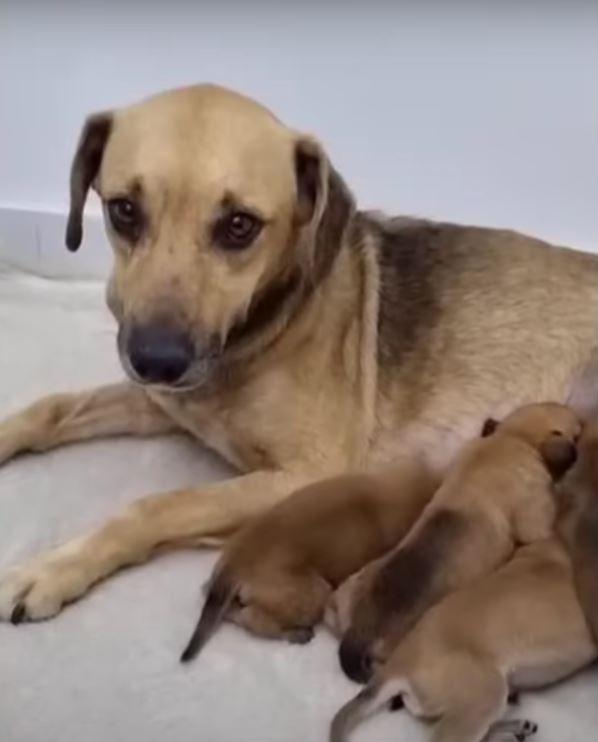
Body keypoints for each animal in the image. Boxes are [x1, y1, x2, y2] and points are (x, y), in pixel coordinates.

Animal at [0, 83, 598, 628]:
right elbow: (49, 408)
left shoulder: (305, 475)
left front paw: (52, 569)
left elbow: (156, 506)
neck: (256, 332)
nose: (156, 359)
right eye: (124, 210)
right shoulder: (164, 402)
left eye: (239, 225)